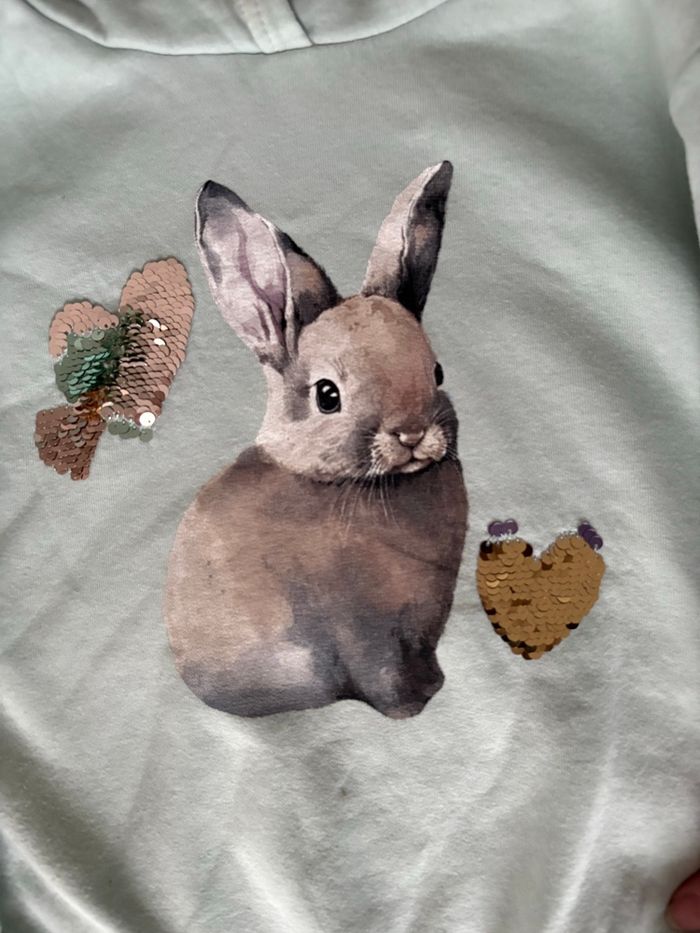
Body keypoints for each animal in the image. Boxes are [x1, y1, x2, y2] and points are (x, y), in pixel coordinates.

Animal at [164, 162, 468, 719]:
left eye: (437, 371)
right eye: (328, 395)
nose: (413, 434)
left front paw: (431, 688)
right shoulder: (361, 630)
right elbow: (381, 675)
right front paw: (413, 707)